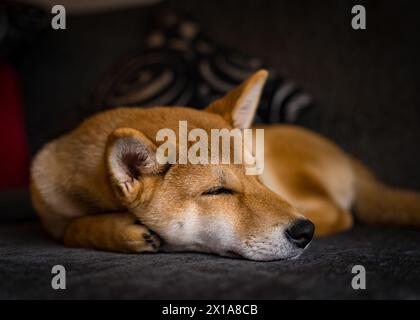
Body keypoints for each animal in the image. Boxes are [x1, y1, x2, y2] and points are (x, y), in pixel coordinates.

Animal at [31, 70, 420, 260]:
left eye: (258, 178)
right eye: (218, 191)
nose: (304, 232)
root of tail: (352, 161)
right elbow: (69, 230)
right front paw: (115, 231)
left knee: (340, 214)